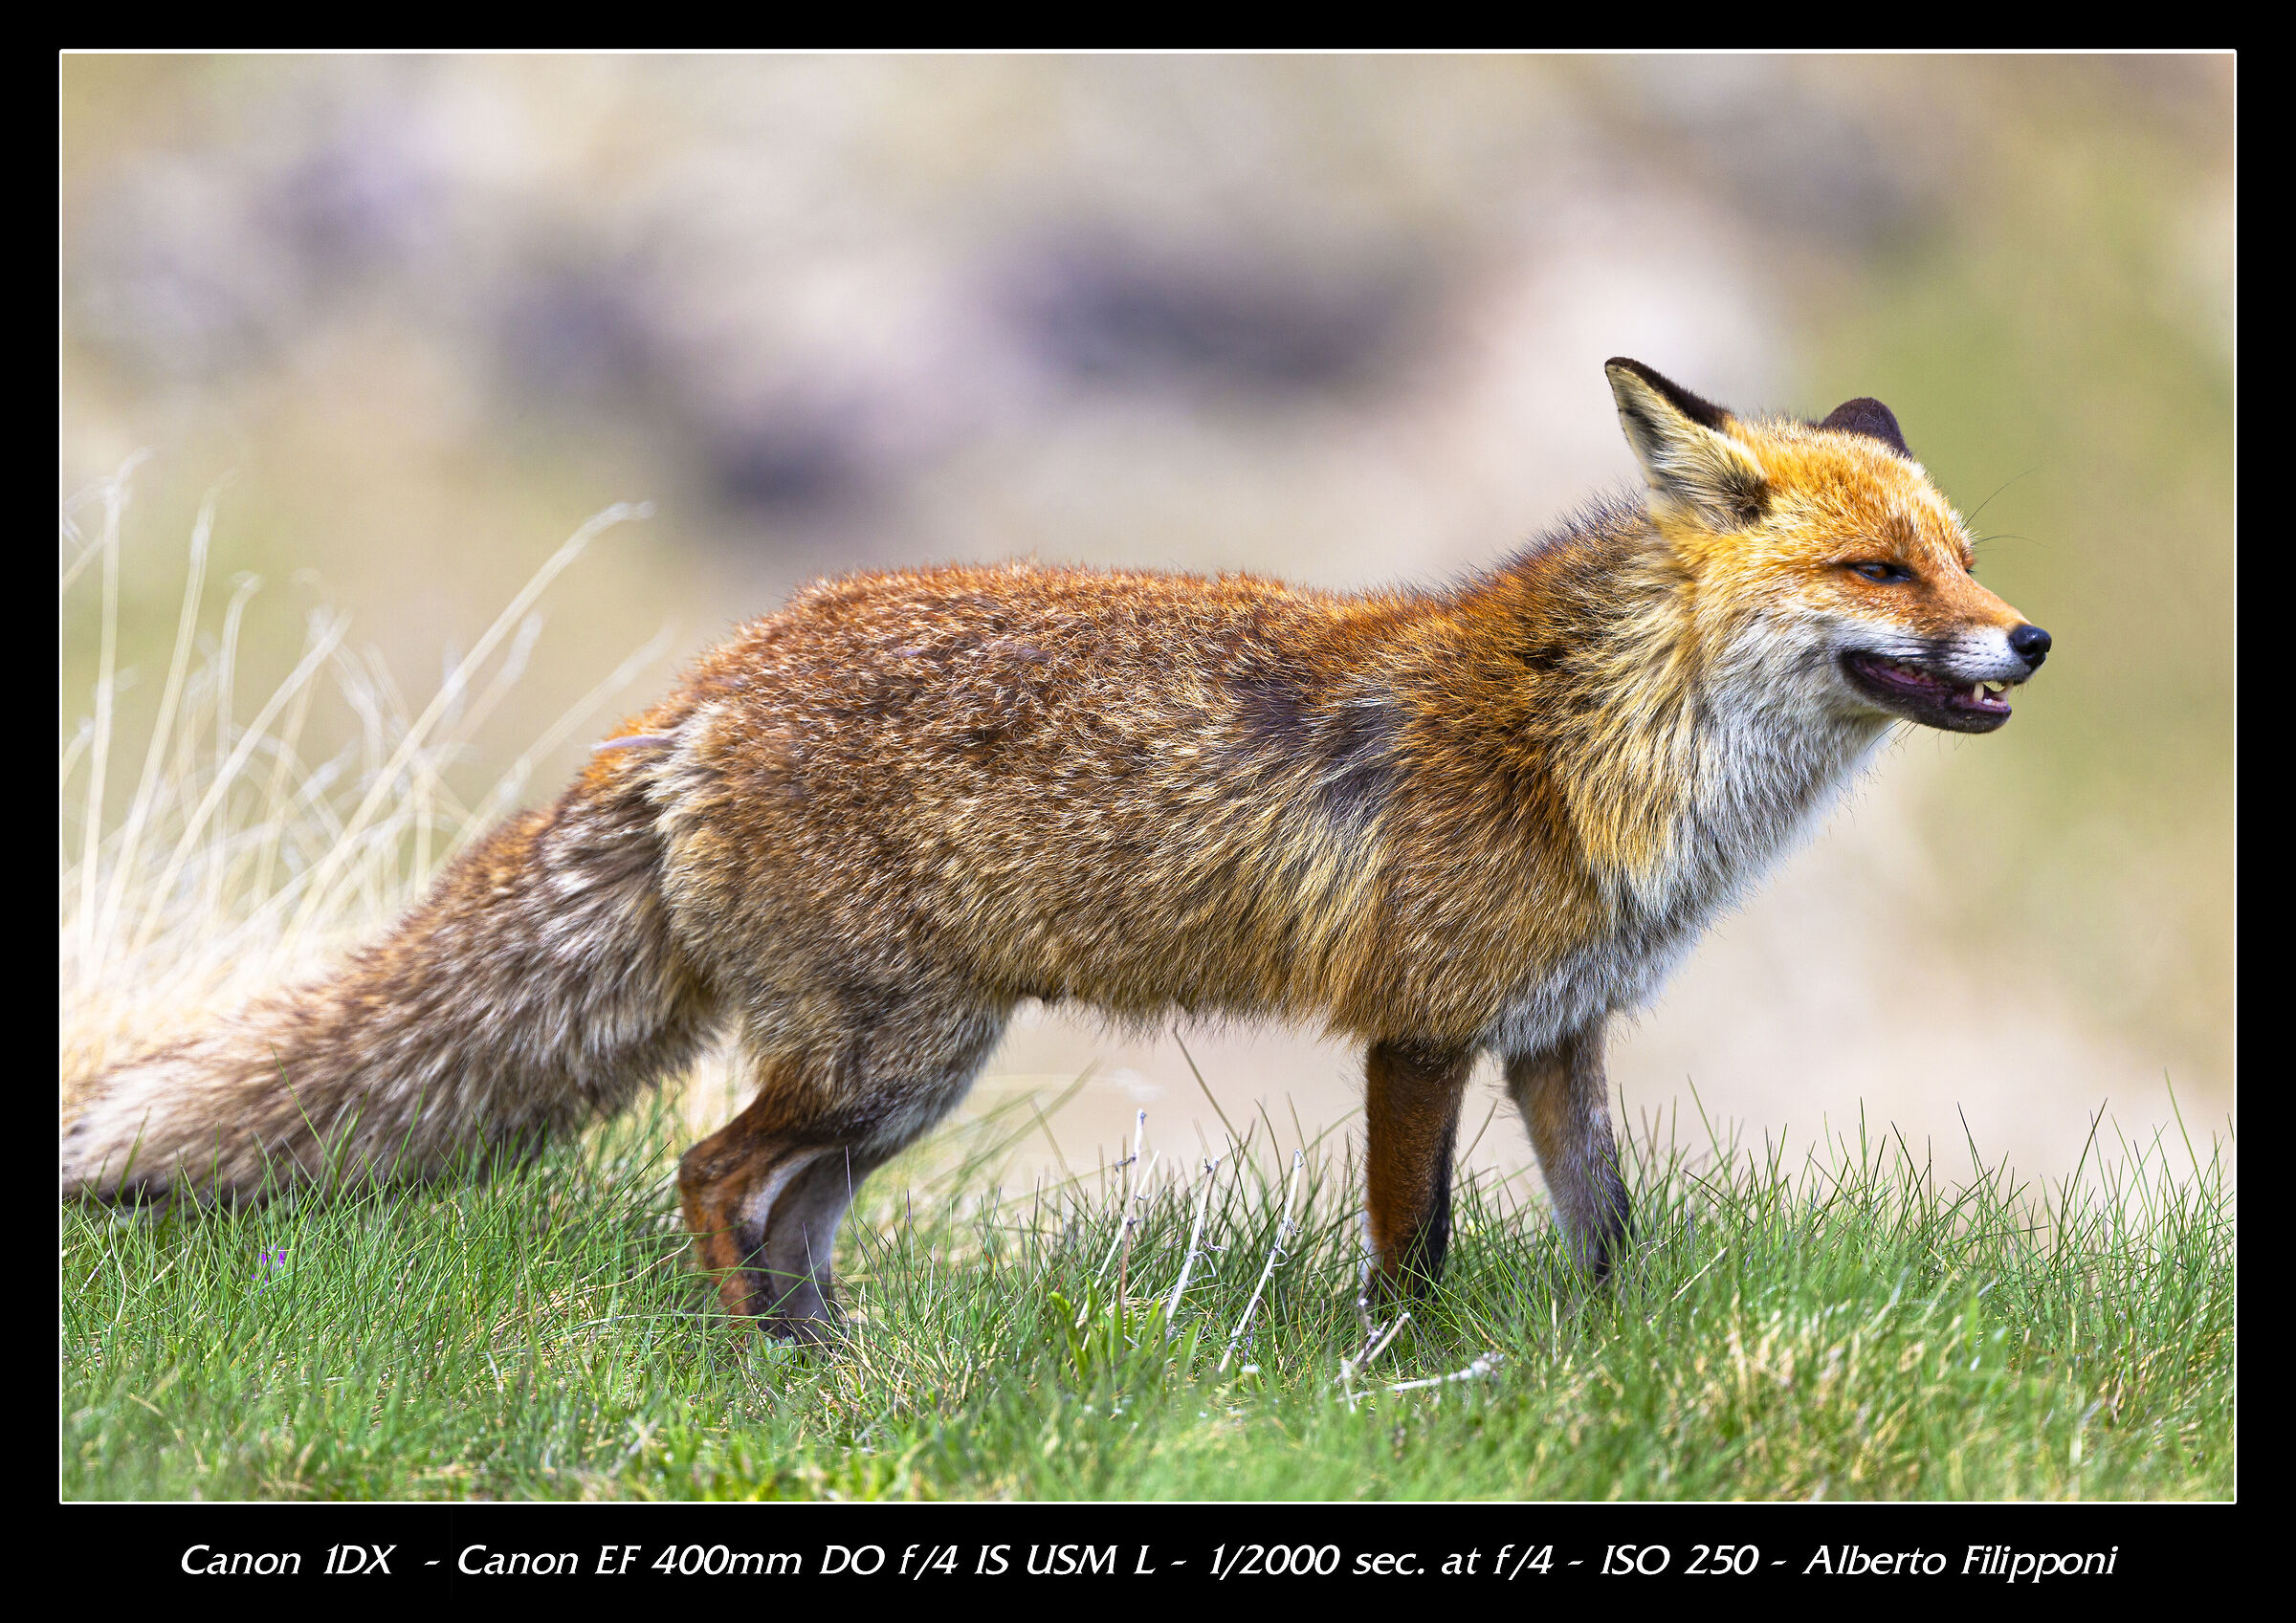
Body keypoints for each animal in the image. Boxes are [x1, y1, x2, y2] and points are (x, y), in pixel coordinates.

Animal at [62, 358, 2050, 1337]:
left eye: (1959, 555)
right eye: (1881, 571)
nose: (2027, 641)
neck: (1606, 747)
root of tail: (709, 681)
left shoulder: (1559, 1036)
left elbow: (1609, 1238)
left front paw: (1611, 1377)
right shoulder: (1417, 1031)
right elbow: (1412, 1252)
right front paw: (1408, 1390)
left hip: (909, 1079)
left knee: (789, 1218)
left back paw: (832, 1376)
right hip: (884, 1057)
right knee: (707, 1172)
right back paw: (765, 1373)